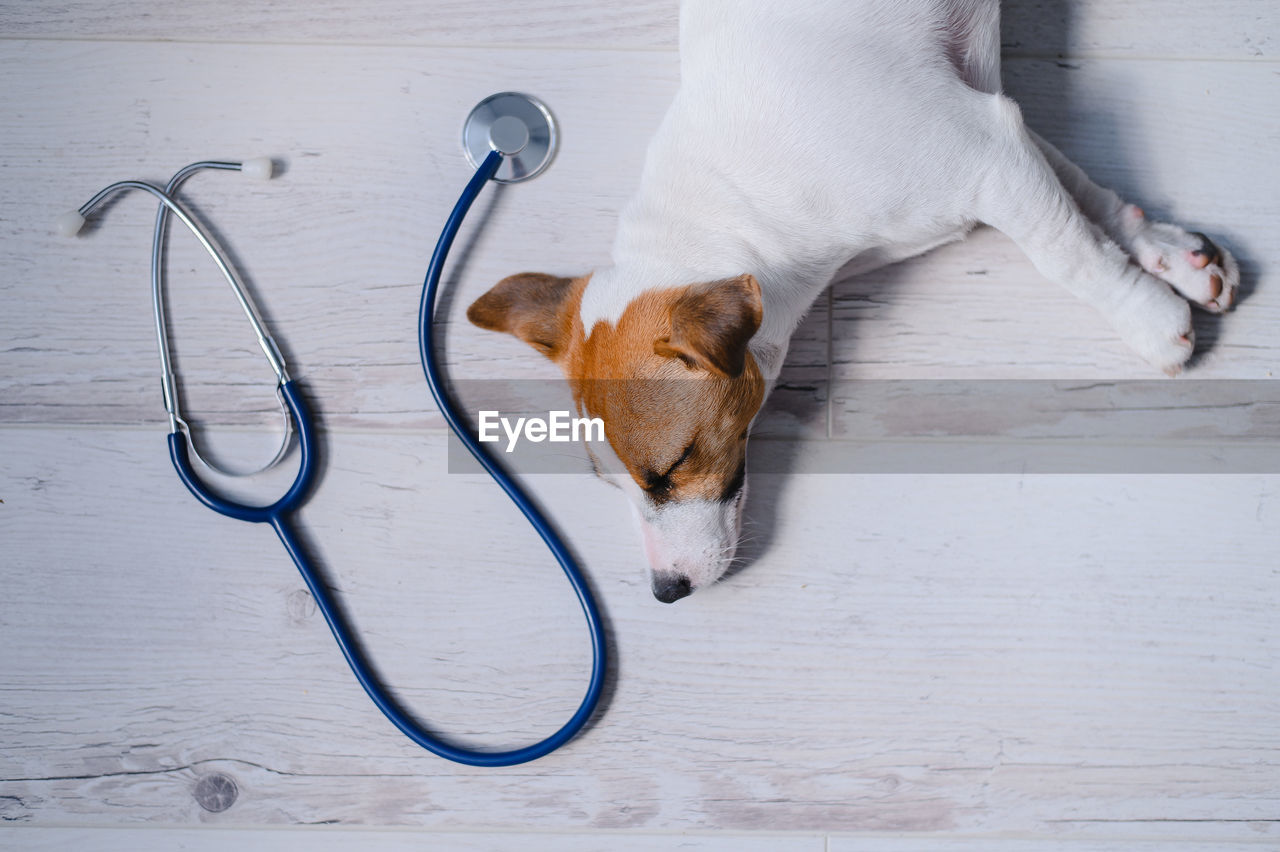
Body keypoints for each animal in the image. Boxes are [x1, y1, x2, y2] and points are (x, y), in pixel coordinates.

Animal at [471, 0, 1239, 601]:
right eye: (613, 486)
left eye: (673, 468)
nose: (665, 592)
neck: (727, 212)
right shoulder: (999, 133)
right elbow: (1086, 197)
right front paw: (1168, 256)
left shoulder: (985, 154)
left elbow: (1068, 251)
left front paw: (1147, 317)